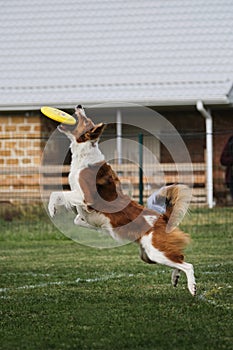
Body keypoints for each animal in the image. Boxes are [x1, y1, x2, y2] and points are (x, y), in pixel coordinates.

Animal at [48, 106, 197, 296]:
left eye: (86, 120)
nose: (79, 106)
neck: (84, 154)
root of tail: (162, 218)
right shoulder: (83, 210)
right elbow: (78, 219)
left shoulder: (85, 196)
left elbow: (57, 193)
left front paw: (51, 208)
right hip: (148, 255)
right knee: (179, 257)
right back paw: (175, 277)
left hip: (155, 251)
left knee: (188, 265)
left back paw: (192, 287)